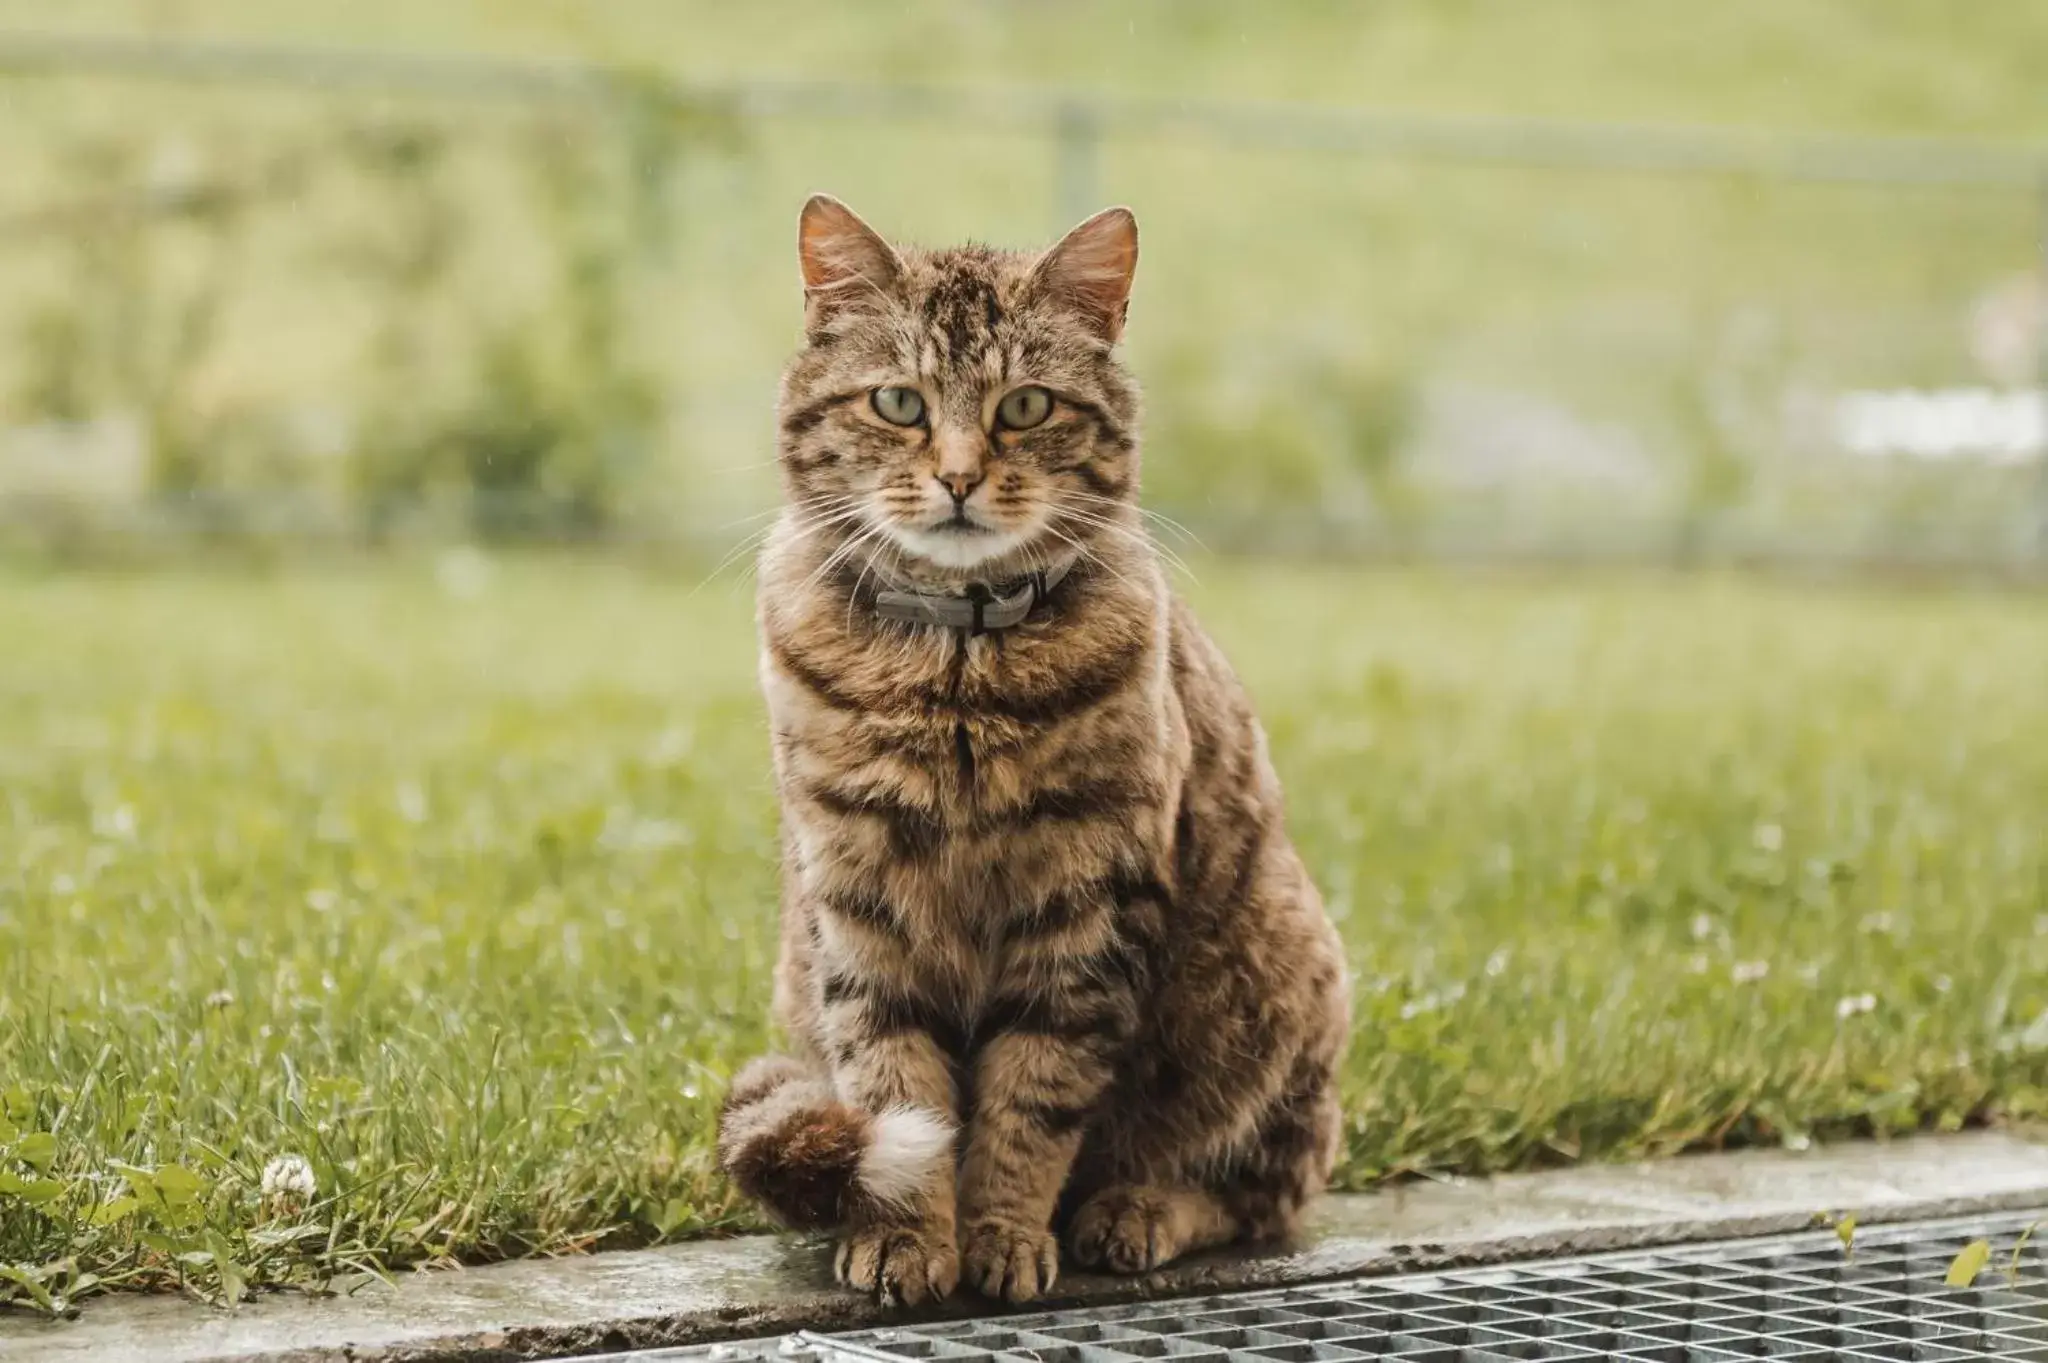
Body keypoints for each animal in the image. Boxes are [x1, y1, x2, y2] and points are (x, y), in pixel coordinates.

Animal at [720, 196, 1359, 1301]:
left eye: (1023, 406)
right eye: (898, 402)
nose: (959, 477)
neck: (957, 677)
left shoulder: (1087, 908)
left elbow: (1033, 1099)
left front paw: (1002, 1235)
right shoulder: (858, 903)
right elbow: (897, 1084)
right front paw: (906, 1235)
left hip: (1277, 980)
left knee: (1263, 1192)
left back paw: (1135, 1209)